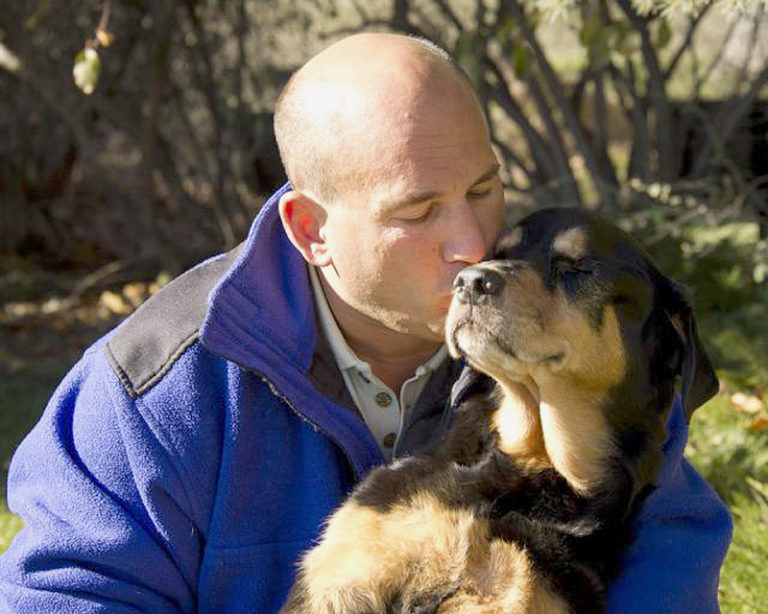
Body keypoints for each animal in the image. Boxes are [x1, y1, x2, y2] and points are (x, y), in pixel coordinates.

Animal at [282, 208, 720, 614]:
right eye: (498, 253)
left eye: (576, 267)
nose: (470, 281)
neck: (532, 461)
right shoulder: (343, 573)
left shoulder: (519, 590)